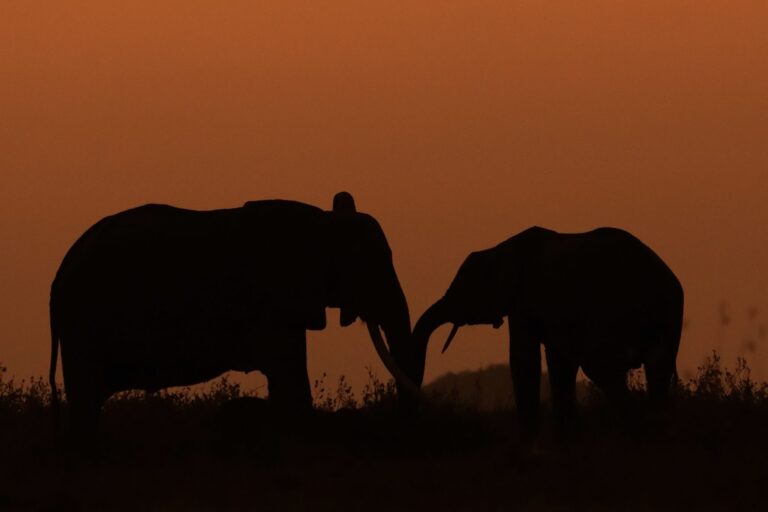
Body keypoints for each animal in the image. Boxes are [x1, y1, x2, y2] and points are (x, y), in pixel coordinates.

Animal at [49, 192, 422, 434]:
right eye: (371, 265)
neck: (323, 221)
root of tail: (62, 267)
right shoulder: (272, 302)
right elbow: (291, 384)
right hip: (83, 322)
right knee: (85, 403)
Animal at [413, 226, 684, 436]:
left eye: (465, 288)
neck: (499, 249)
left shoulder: (524, 301)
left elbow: (524, 358)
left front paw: (531, 442)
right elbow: (558, 361)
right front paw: (567, 437)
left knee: (601, 366)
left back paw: (635, 429)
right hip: (666, 316)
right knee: (656, 369)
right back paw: (650, 430)